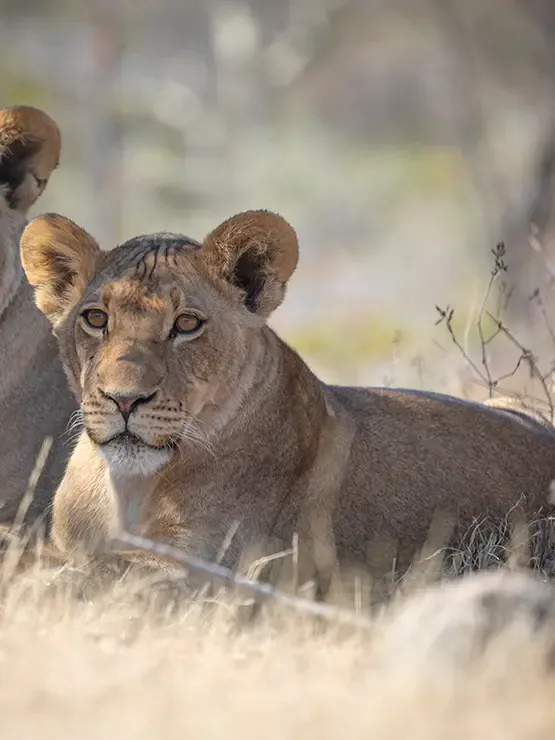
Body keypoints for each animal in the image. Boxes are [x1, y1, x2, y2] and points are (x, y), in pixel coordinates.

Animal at [18, 209, 555, 595]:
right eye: (95, 318)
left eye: (187, 324)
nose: (123, 399)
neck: (128, 485)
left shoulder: (211, 571)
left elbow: (89, 569)